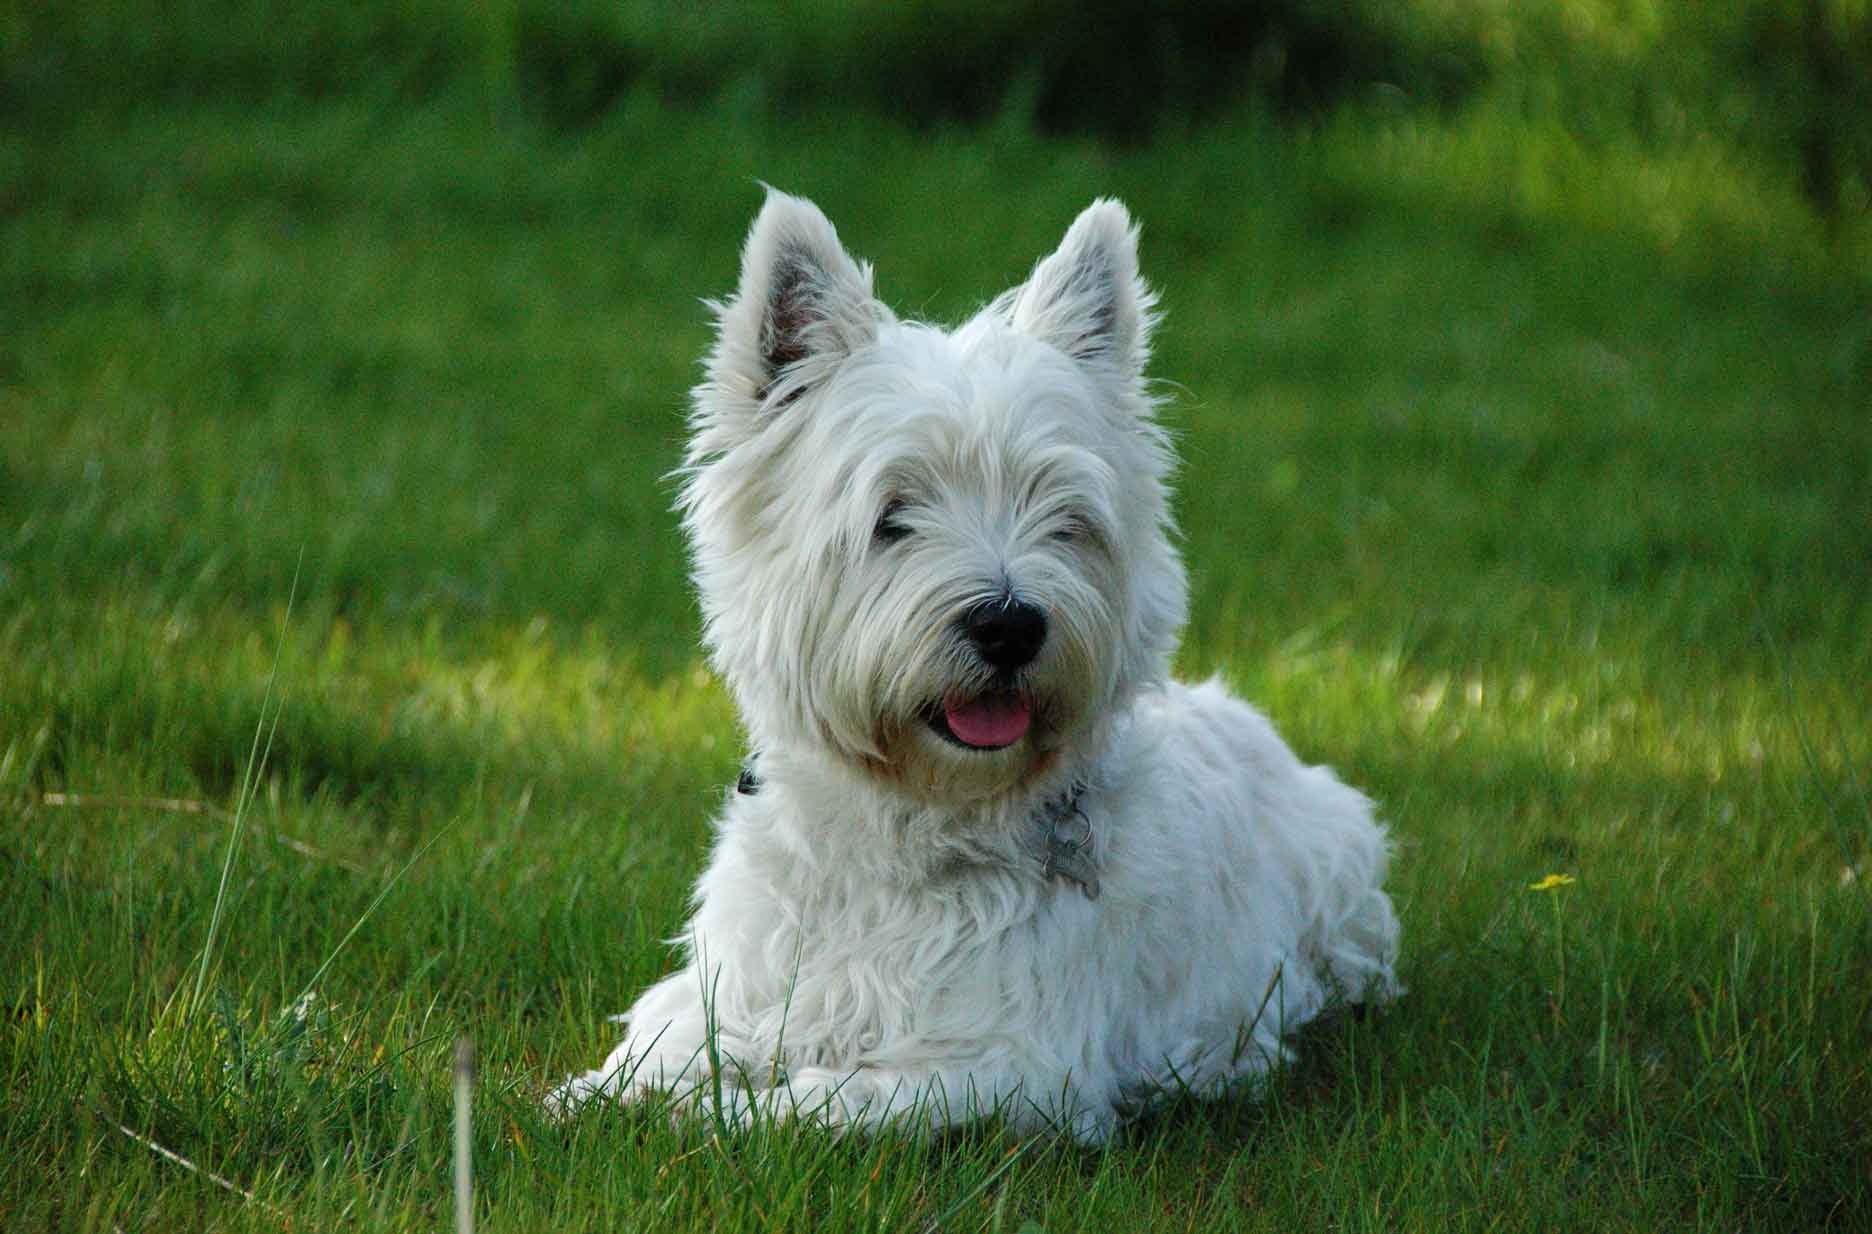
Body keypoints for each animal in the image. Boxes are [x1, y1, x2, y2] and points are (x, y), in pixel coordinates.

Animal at [561, 192, 1400, 1145]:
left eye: (1065, 519)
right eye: (892, 515)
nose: (1009, 625)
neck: (906, 836)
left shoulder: (1012, 1068)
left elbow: (830, 1099)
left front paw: (722, 1111)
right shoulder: (729, 988)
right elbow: (659, 1047)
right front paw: (593, 1095)